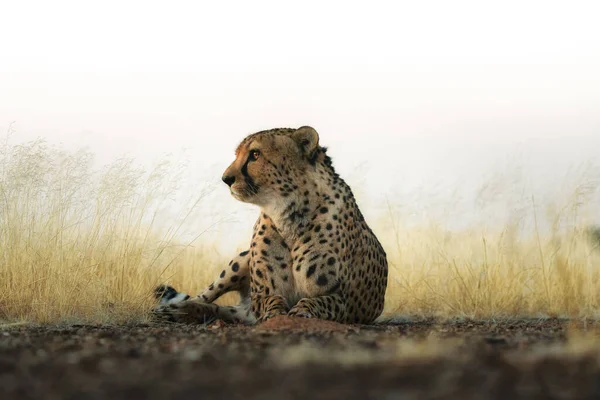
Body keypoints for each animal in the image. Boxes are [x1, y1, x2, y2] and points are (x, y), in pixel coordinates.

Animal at [154, 126, 390, 324]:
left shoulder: (343, 299)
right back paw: (175, 310)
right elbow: (272, 300)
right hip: (240, 261)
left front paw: (301, 311)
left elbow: (319, 301)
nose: (226, 179)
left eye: (255, 155)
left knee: (221, 309)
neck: (288, 214)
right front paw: (276, 313)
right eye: (237, 154)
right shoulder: (261, 294)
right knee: (202, 296)